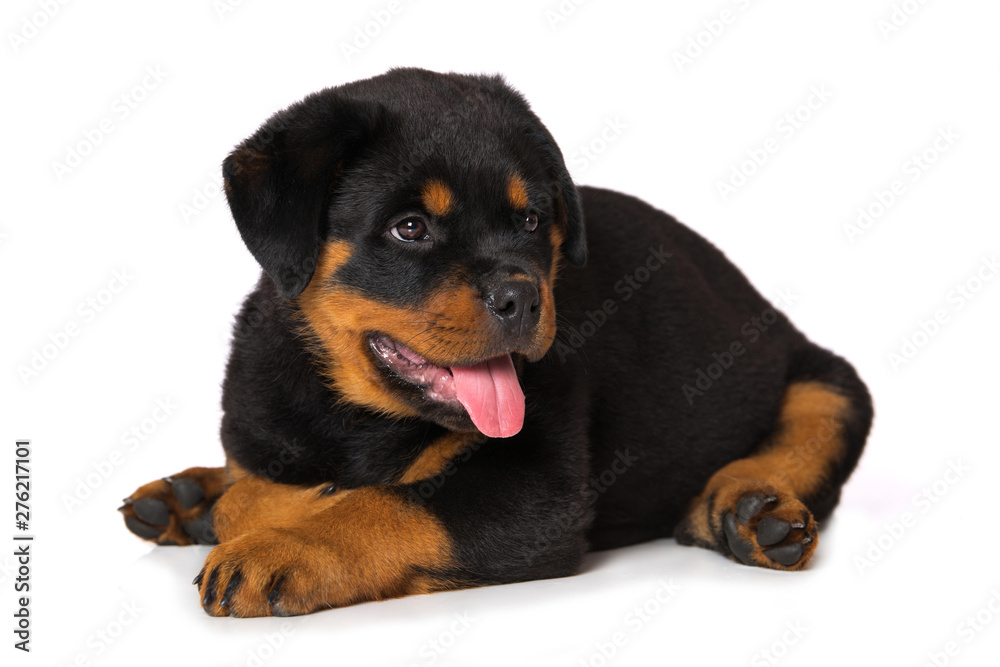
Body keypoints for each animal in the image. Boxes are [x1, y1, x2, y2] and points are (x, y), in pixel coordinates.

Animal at [121, 66, 872, 616]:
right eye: (410, 228)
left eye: (533, 219)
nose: (524, 297)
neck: (359, 418)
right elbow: (256, 486)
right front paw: (240, 504)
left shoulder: (537, 491)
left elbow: (386, 504)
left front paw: (283, 543)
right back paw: (183, 496)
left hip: (830, 383)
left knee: (804, 440)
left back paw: (750, 510)